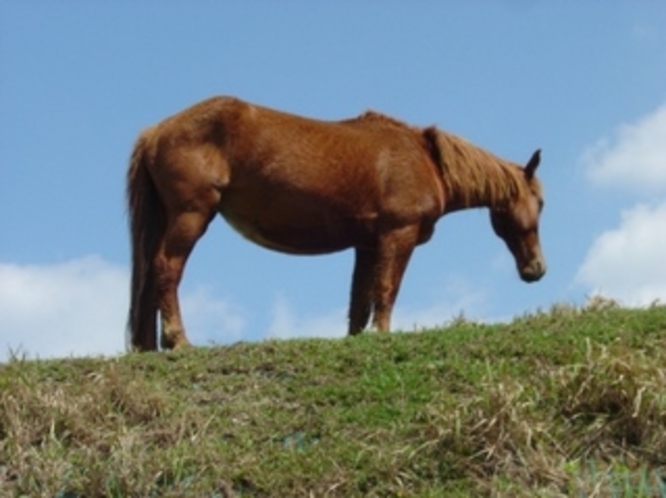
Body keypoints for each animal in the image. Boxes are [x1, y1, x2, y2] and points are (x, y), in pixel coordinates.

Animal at [126, 97, 544, 352]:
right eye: (540, 202)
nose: (536, 270)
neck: (428, 162)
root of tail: (155, 132)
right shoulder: (398, 235)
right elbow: (386, 290)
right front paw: (383, 336)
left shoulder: (367, 243)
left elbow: (359, 302)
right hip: (191, 215)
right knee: (167, 268)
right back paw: (179, 341)